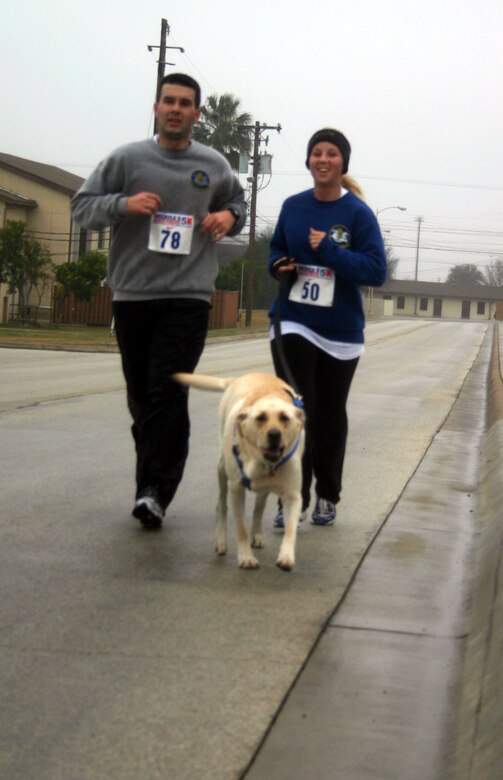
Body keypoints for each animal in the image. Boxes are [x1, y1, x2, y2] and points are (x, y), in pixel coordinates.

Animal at [173, 368, 308, 568]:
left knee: (259, 508)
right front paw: (246, 557)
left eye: (284, 418)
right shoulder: (236, 489)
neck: (262, 463)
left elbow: (290, 529)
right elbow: (240, 528)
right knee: (220, 506)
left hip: (264, 490)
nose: (274, 434)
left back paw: (257, 535)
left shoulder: (292, 494)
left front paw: (286, 556)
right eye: (260, 418)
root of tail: (237, 378)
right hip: (222, 470)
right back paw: (221, 540)